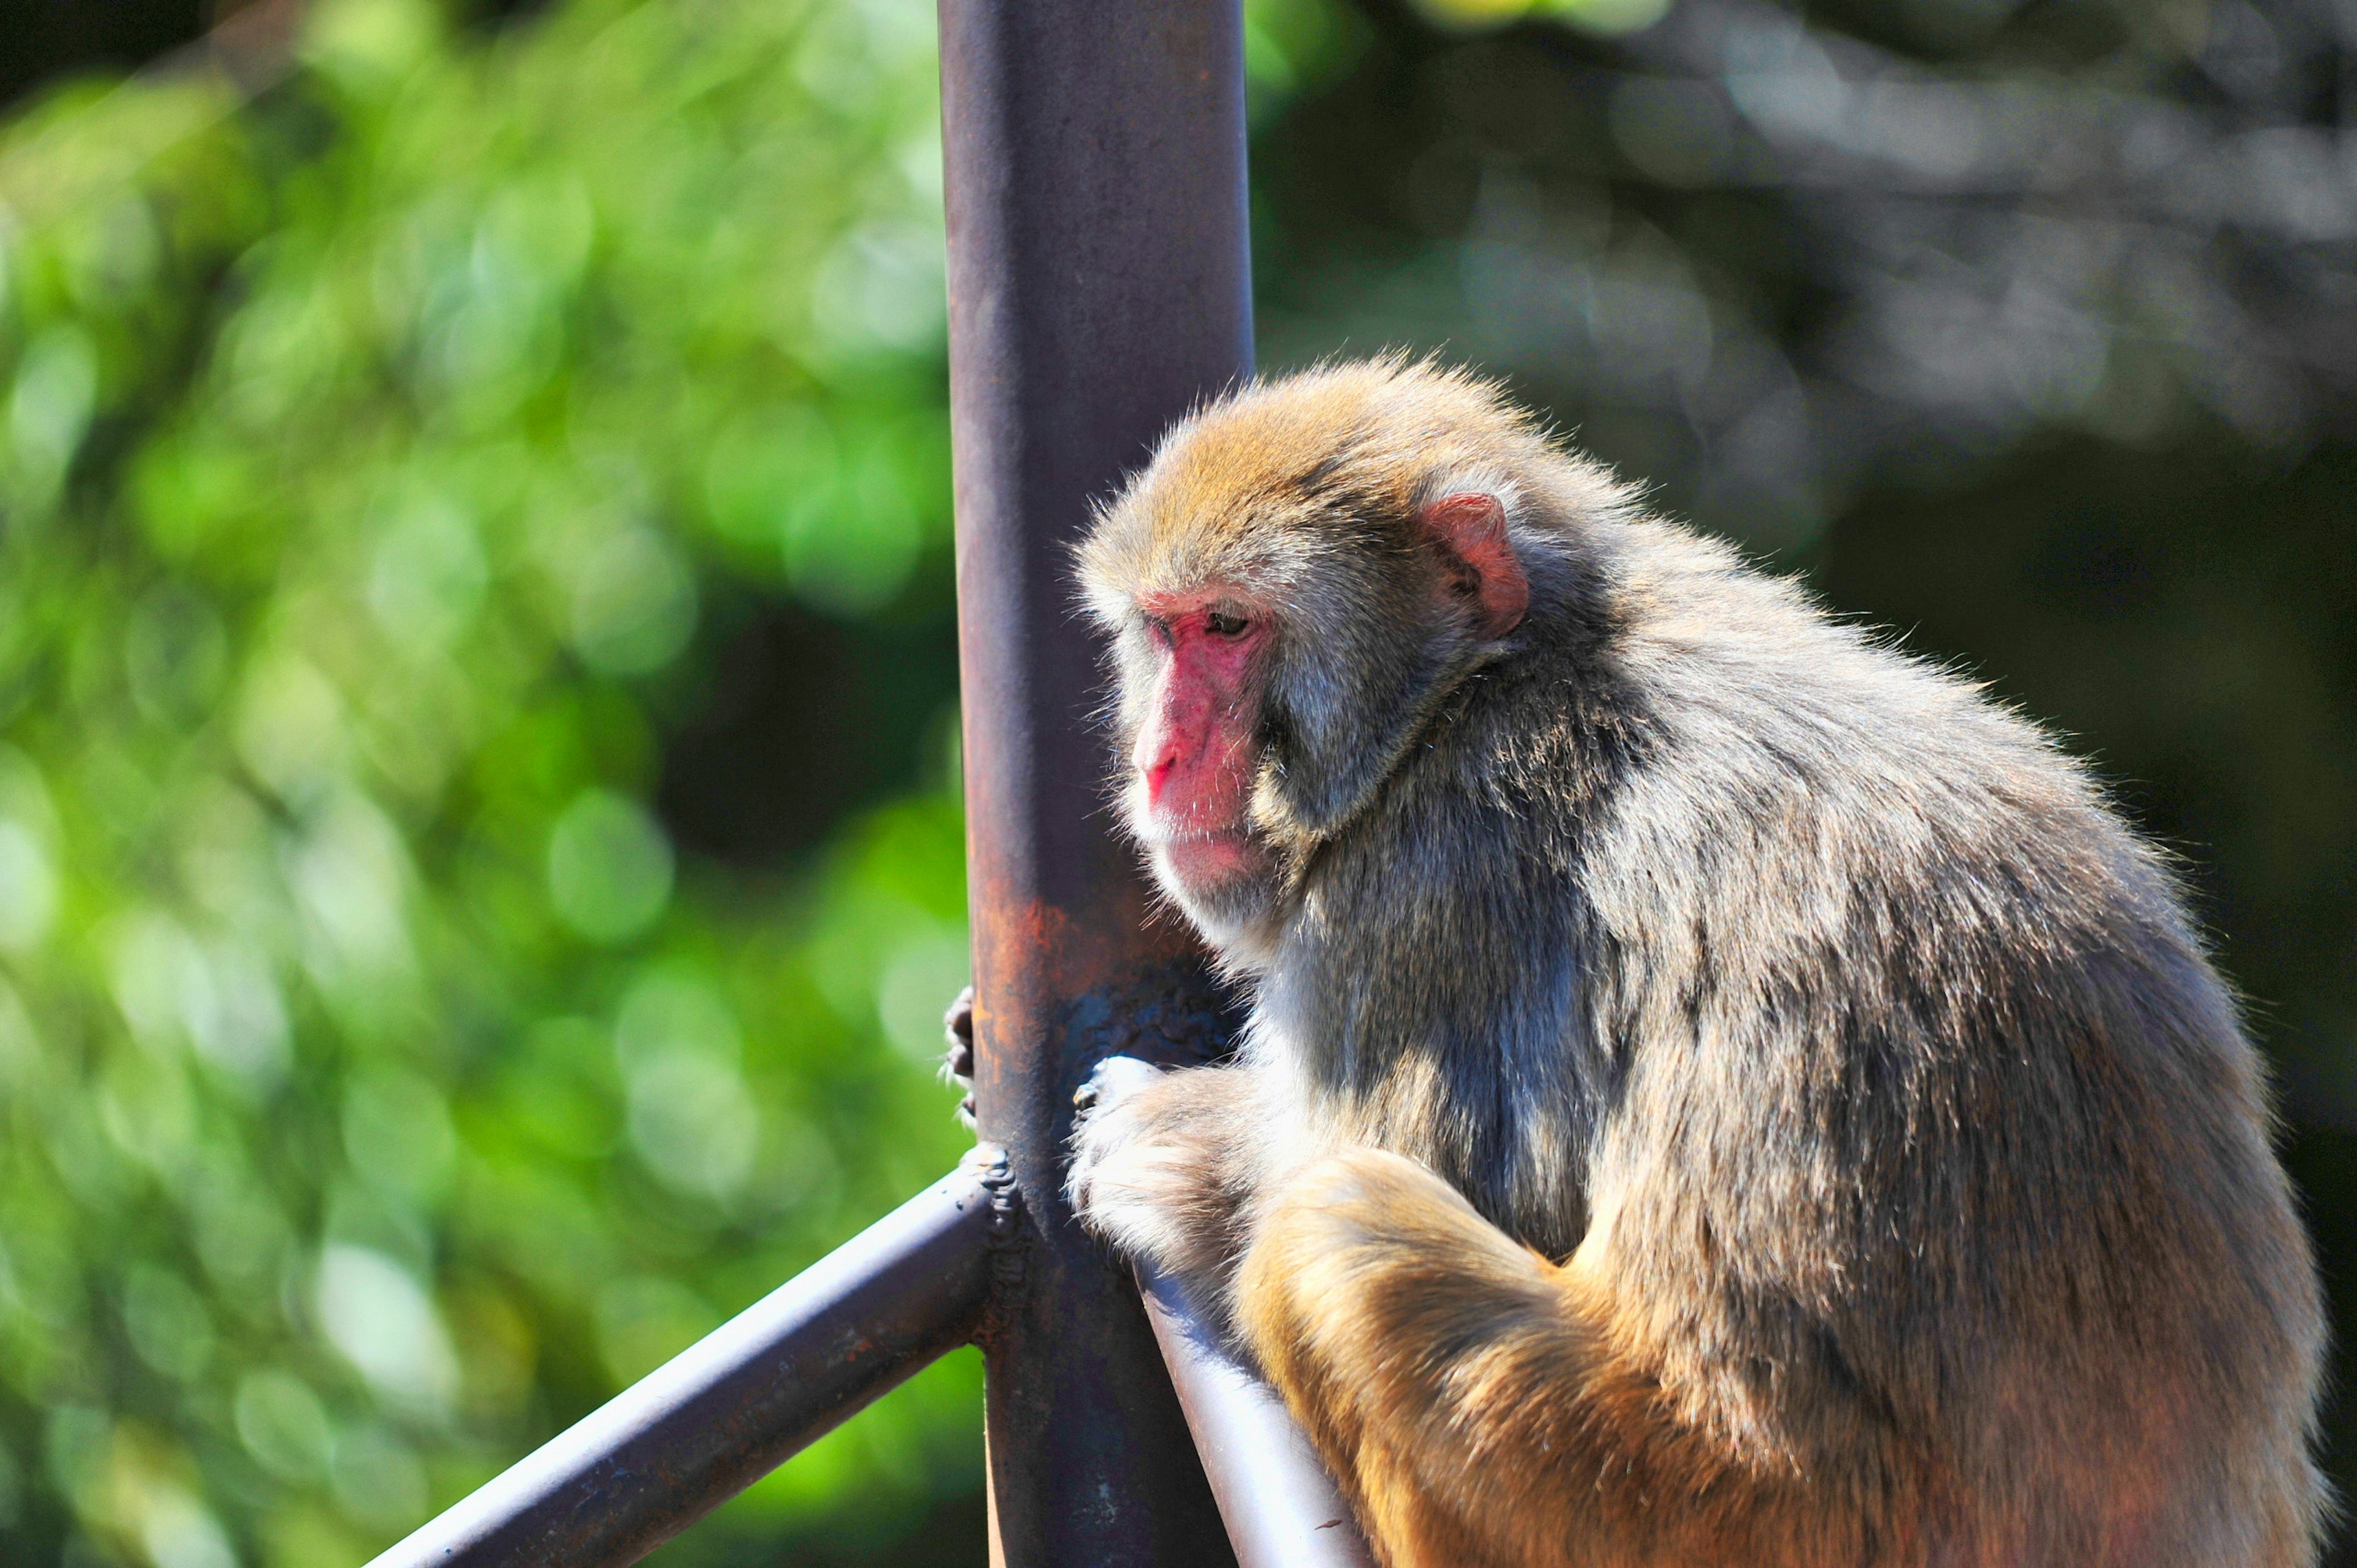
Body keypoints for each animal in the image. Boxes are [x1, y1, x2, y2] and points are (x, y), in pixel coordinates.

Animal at [1061, 358, 2328, 1566]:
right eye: (1163, 630)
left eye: (1230, 628)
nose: (1160, 757)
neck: (1478, 689)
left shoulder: (1423, 897)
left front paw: (1176, 1158)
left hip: (1677, 1497)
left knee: (1340, 1229)